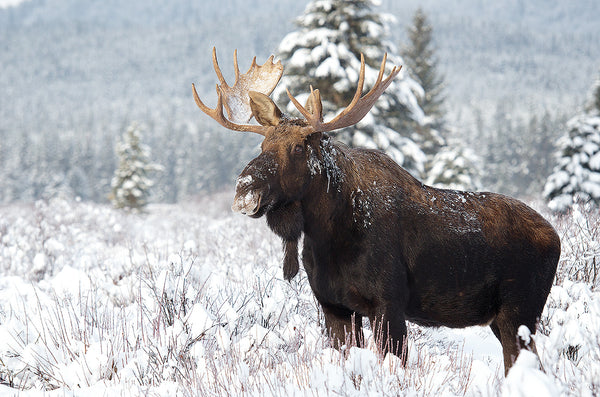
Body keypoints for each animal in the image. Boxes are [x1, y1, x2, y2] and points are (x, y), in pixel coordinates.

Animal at [193, 48, 564, 372]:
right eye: (262, 145)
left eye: (298, 147)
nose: (245, 187)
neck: (326, 238)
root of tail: (557, 237)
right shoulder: (335, 307)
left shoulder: (388, 304)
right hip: (503, 318)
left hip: (521, 309)